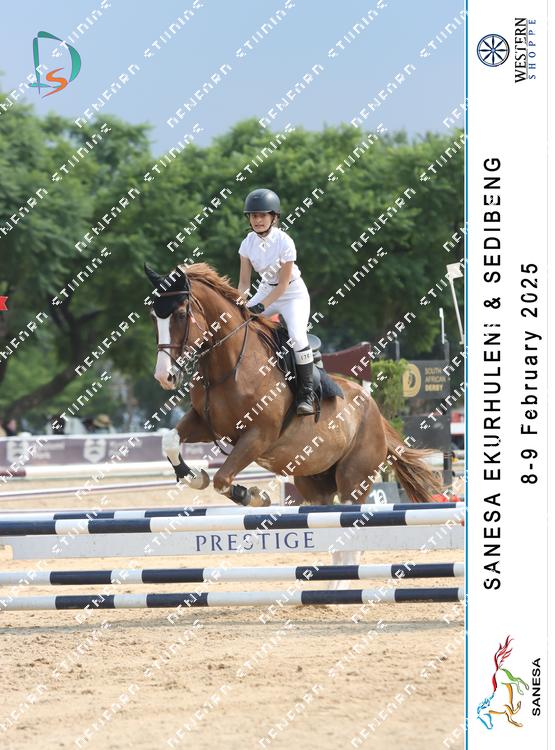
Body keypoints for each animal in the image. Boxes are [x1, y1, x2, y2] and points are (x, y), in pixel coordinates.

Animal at [145, 262, 443, 507]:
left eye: (180, 315)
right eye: (153, 317)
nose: (164, 376)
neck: (230, 367)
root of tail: (376, 412)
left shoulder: (258, 435)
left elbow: (222, 479)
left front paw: (255, 496)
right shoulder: (207, 424)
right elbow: (170, 441)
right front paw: (194, 476)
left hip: (354, 480)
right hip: (313, 481)